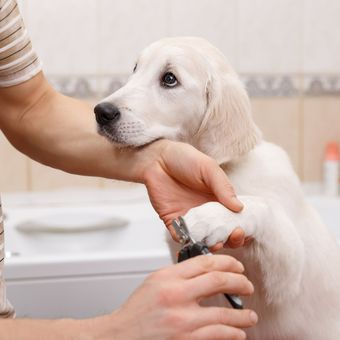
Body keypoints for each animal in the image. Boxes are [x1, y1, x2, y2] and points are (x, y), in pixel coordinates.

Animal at [94, 37, 340, 340]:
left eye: (169, 79)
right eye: (135, 69)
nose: (101, 112)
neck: (228, 169)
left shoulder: (289, 276)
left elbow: (262, 206)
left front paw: (212, 217)